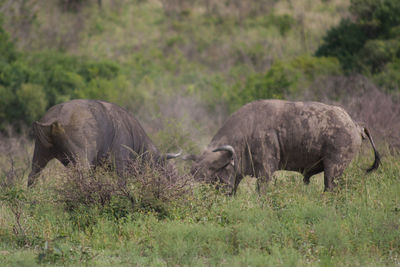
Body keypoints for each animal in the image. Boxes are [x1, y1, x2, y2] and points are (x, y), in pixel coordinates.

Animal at [27, 99, 180, 187]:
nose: (172, 180)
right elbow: (122, 183)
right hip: (82, 159)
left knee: (32, 177)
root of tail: (56, 119)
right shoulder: (120, 162)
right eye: (160, 164)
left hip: (40, 153)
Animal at [188, 100, 382, 195]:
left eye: (210, 171)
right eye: (194, 171)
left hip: (333, 169)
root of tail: (354, 124)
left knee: (330, 188)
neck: (247, 133)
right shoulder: (238, 176)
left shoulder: (265, 172)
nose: (191, 186)